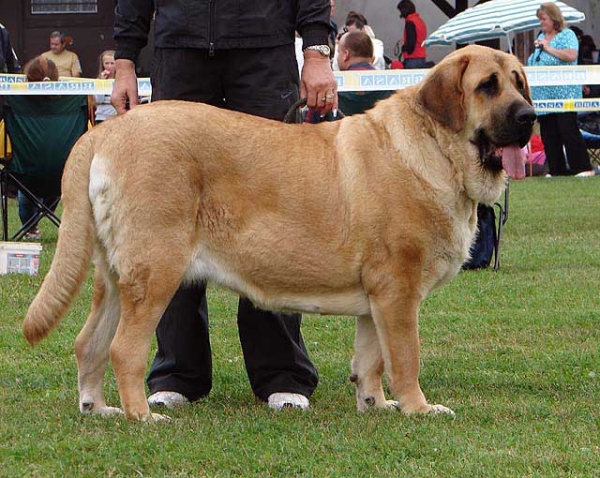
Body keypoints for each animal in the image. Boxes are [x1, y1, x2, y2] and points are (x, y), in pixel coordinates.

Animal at [22, 44, 536, 418]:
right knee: (124, 350)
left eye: (519, 83)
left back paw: (98, 409)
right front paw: (418, 409)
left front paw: (376, 405)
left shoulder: (378, 298)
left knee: (88, 343)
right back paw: (143, 417)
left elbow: (370, 359)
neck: (436, 147)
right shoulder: (399, 291)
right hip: (157, 273)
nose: (529, 117)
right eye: (486, 87)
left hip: (115, 278)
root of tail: (106, 131)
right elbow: (406, 358)